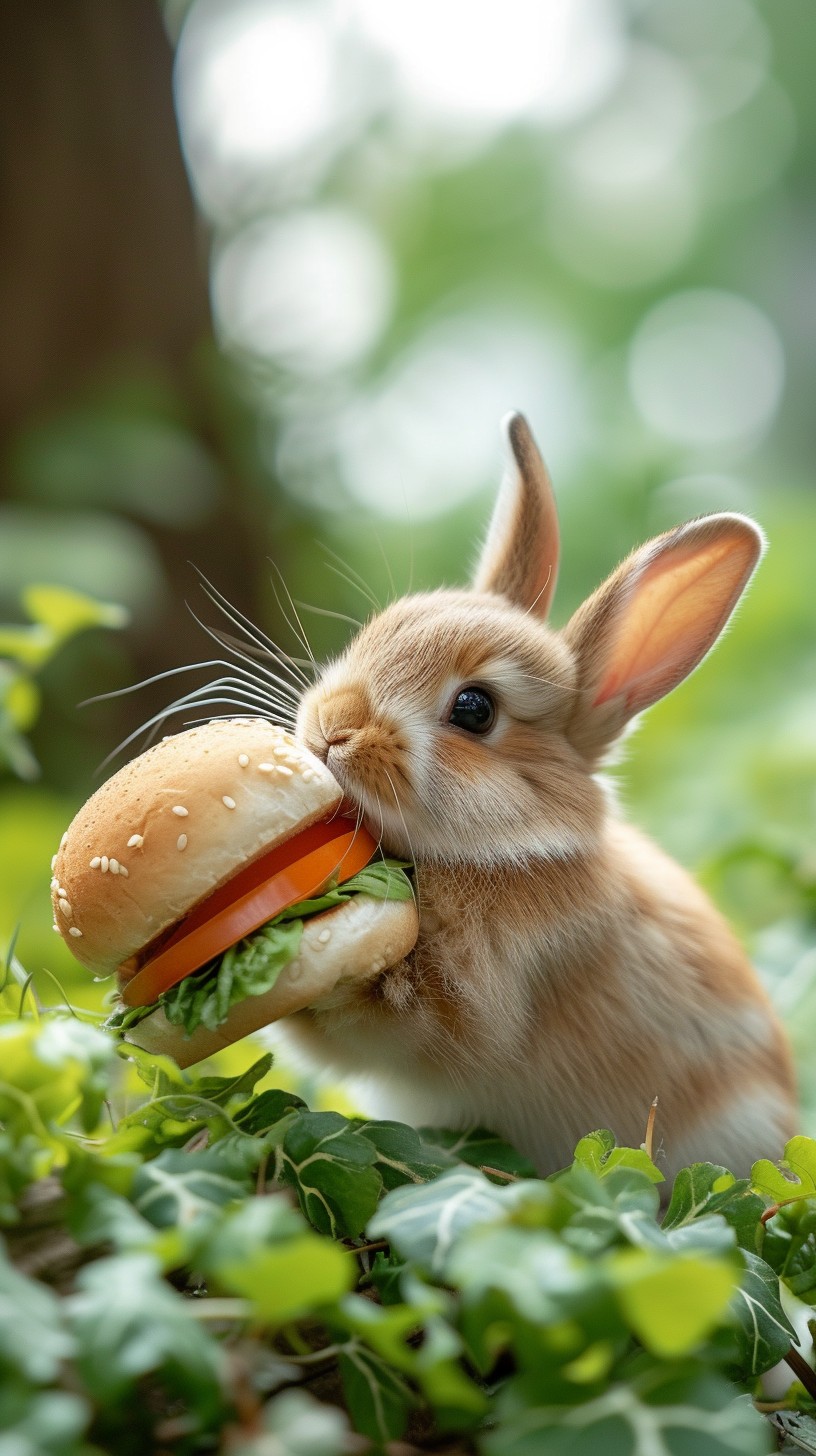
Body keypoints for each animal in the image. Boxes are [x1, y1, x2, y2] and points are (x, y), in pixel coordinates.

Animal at [288, 412, 796, 1182]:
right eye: (378, 629)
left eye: (474, 709)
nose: (330, 731)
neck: (513, 849)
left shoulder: (467, 1006)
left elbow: (382, 1019)